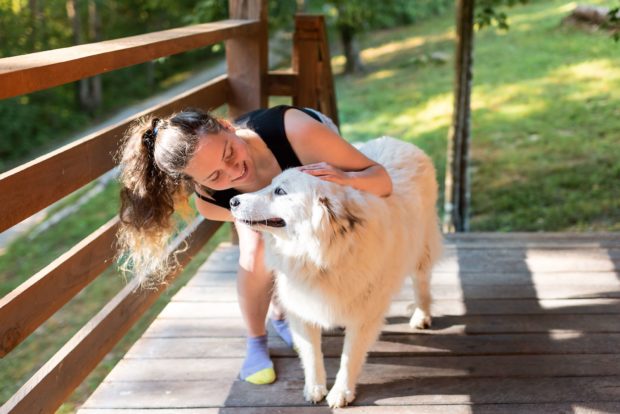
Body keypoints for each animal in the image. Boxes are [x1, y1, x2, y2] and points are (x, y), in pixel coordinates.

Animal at [231, 137, 440, 408]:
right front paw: (314, 387)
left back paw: (421, 315)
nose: (232, 201)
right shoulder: (301, 308)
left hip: (421, 249)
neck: (322, 255)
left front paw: (341, 391)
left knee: (421, 283)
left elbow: (350, 357)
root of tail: (397, 140)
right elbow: (311, 353)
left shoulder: (364, 317)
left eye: (280, 191)